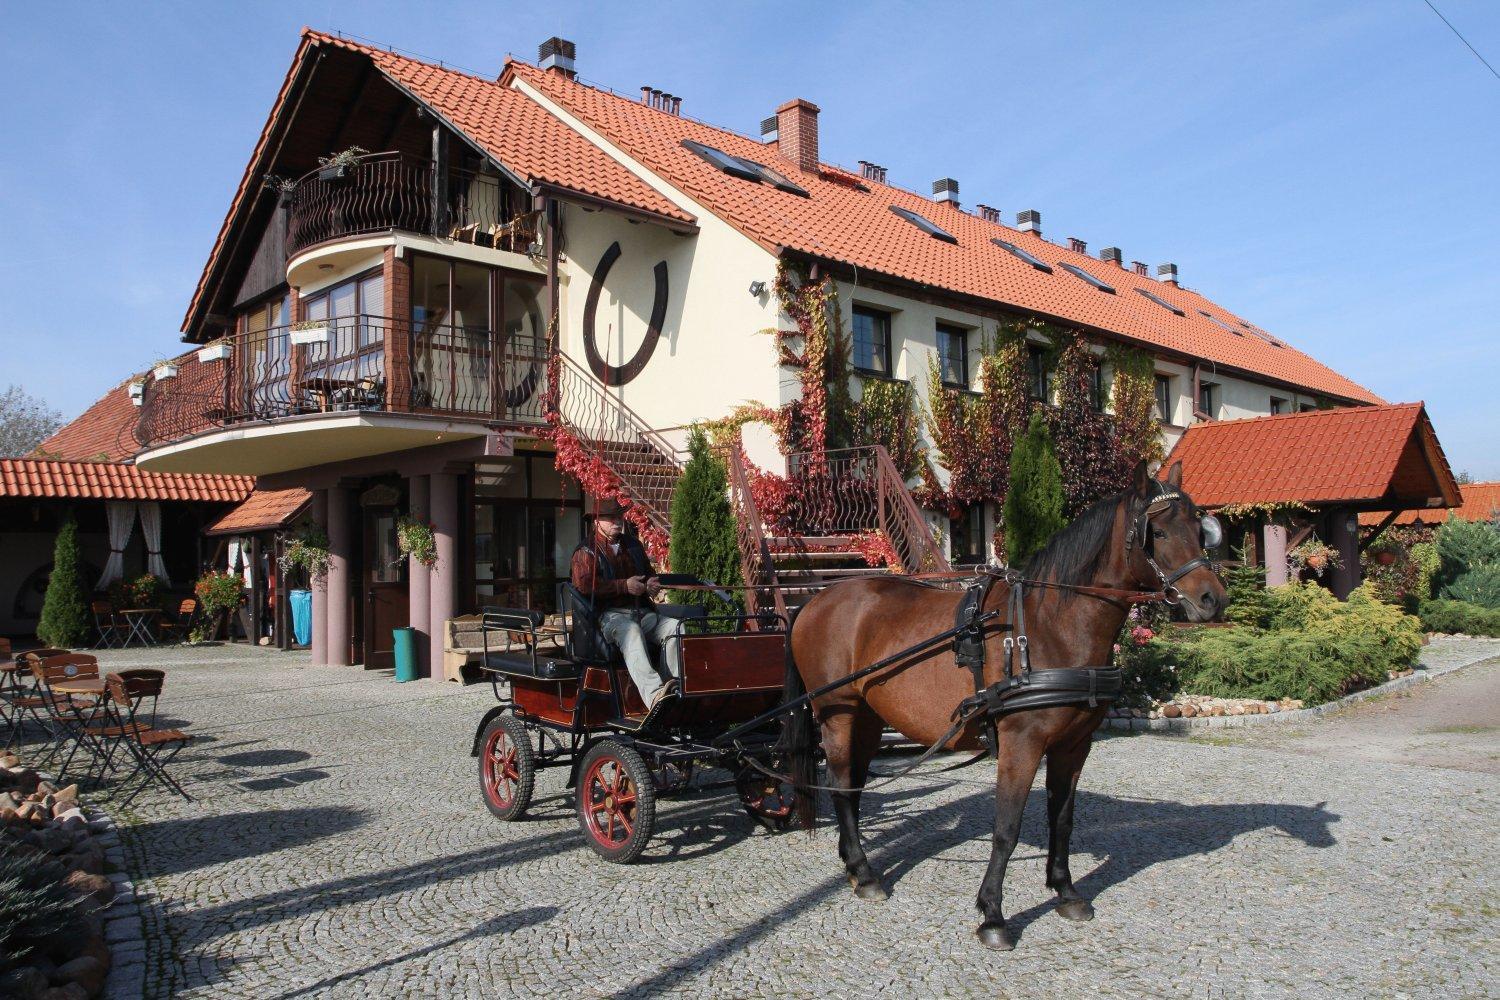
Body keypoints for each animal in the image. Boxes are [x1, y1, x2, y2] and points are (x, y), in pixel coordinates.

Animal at [780, 458, 1224, 947]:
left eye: (1199, 530)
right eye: (1157, 532)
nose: (1212, 599)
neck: (1050, 626)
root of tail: (815, 601)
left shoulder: (1074, 745)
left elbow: (1062, 820)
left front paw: (1066, 892)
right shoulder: (1021, 743)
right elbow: (1007, 828)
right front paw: (992, 914)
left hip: (869, 717)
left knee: (855, 786)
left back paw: (856, 868)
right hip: (836, 713)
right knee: (841, 785)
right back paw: (864, 871)